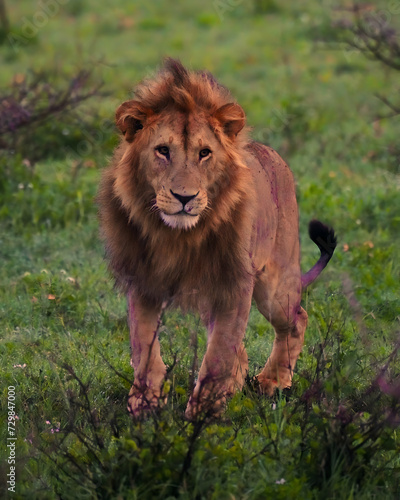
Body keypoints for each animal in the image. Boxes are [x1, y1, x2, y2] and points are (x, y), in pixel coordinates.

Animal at [98, 58, 336, 418]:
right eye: (163, 151)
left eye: (204, 153)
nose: (184, 197)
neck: (177, 237)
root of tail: (272, 153)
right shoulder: (144, 280)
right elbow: (144, 345)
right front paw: (145, 403)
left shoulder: (235, 284)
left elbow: (218, 354)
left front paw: (204, 414)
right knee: (243, 347)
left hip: (275, 286)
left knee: (296, 319)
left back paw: (273, 382)